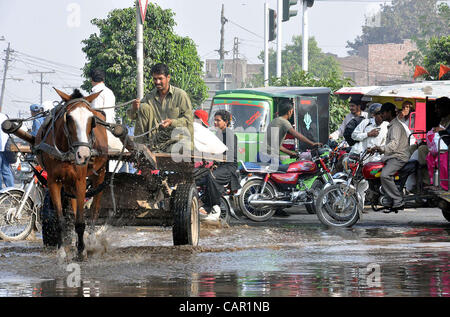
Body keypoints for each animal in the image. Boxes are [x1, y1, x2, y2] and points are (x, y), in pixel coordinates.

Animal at [34, 87, 110, 260]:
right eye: (68, 117)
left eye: (92, 120)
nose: (83, 155)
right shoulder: (53, 181)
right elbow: (61, 219)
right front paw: (62, 250)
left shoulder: (80, 180)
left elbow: (81, 220)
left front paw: (82, 251)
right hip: (68, 184)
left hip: (100, 174)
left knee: (94, 210)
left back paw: (91, 240)